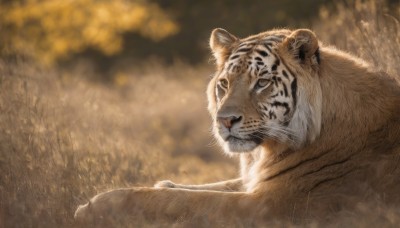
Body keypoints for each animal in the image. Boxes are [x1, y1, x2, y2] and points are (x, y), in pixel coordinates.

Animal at [73, 27, 398, 225]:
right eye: (225, 83)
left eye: (262, 83)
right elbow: (201, 187)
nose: (224, 120)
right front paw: (162, 182)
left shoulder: (272, 207)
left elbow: (179, 201)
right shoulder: (257, 183)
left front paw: (93, 207)